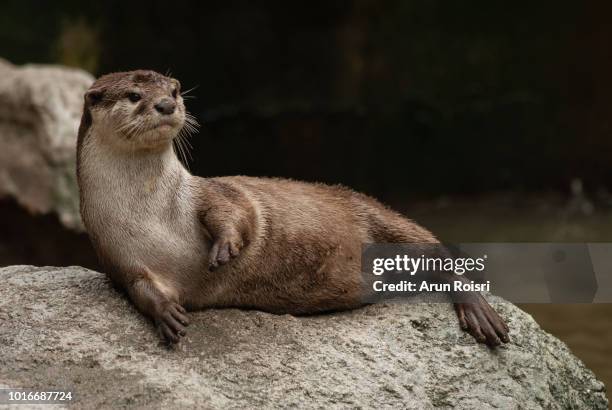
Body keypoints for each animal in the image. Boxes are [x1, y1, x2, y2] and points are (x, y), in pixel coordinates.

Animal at [75, 69, 506, 346]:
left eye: (176, 90)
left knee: (434, 250)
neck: (153, 213)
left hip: (380, 217)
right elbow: (140, 287)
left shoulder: (211, 192)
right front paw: (167, 315)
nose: (165, 104)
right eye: (134, 96)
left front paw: (225, 248)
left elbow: (237, 212)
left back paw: (478, 311)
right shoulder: (117, 253)